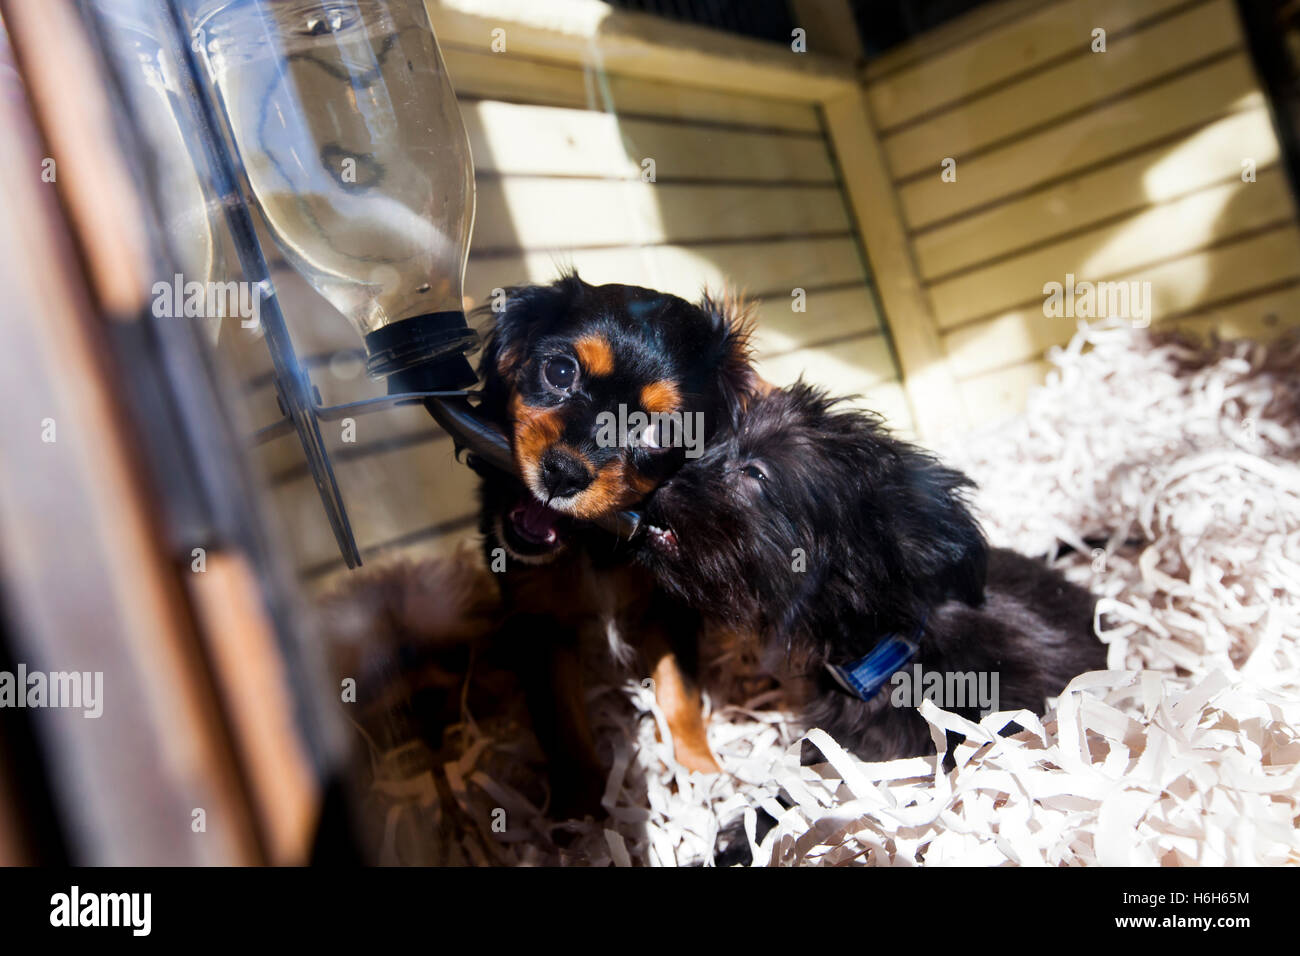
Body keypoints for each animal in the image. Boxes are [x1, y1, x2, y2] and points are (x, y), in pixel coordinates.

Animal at [470, 270, 754, 816]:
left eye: (659, 431)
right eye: (560, 371)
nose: (562, 473)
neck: (590, 544)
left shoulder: (669, 608)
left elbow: (679, 693)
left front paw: (699, 770)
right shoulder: (540, 621)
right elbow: (563, 717)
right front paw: (582, 810)